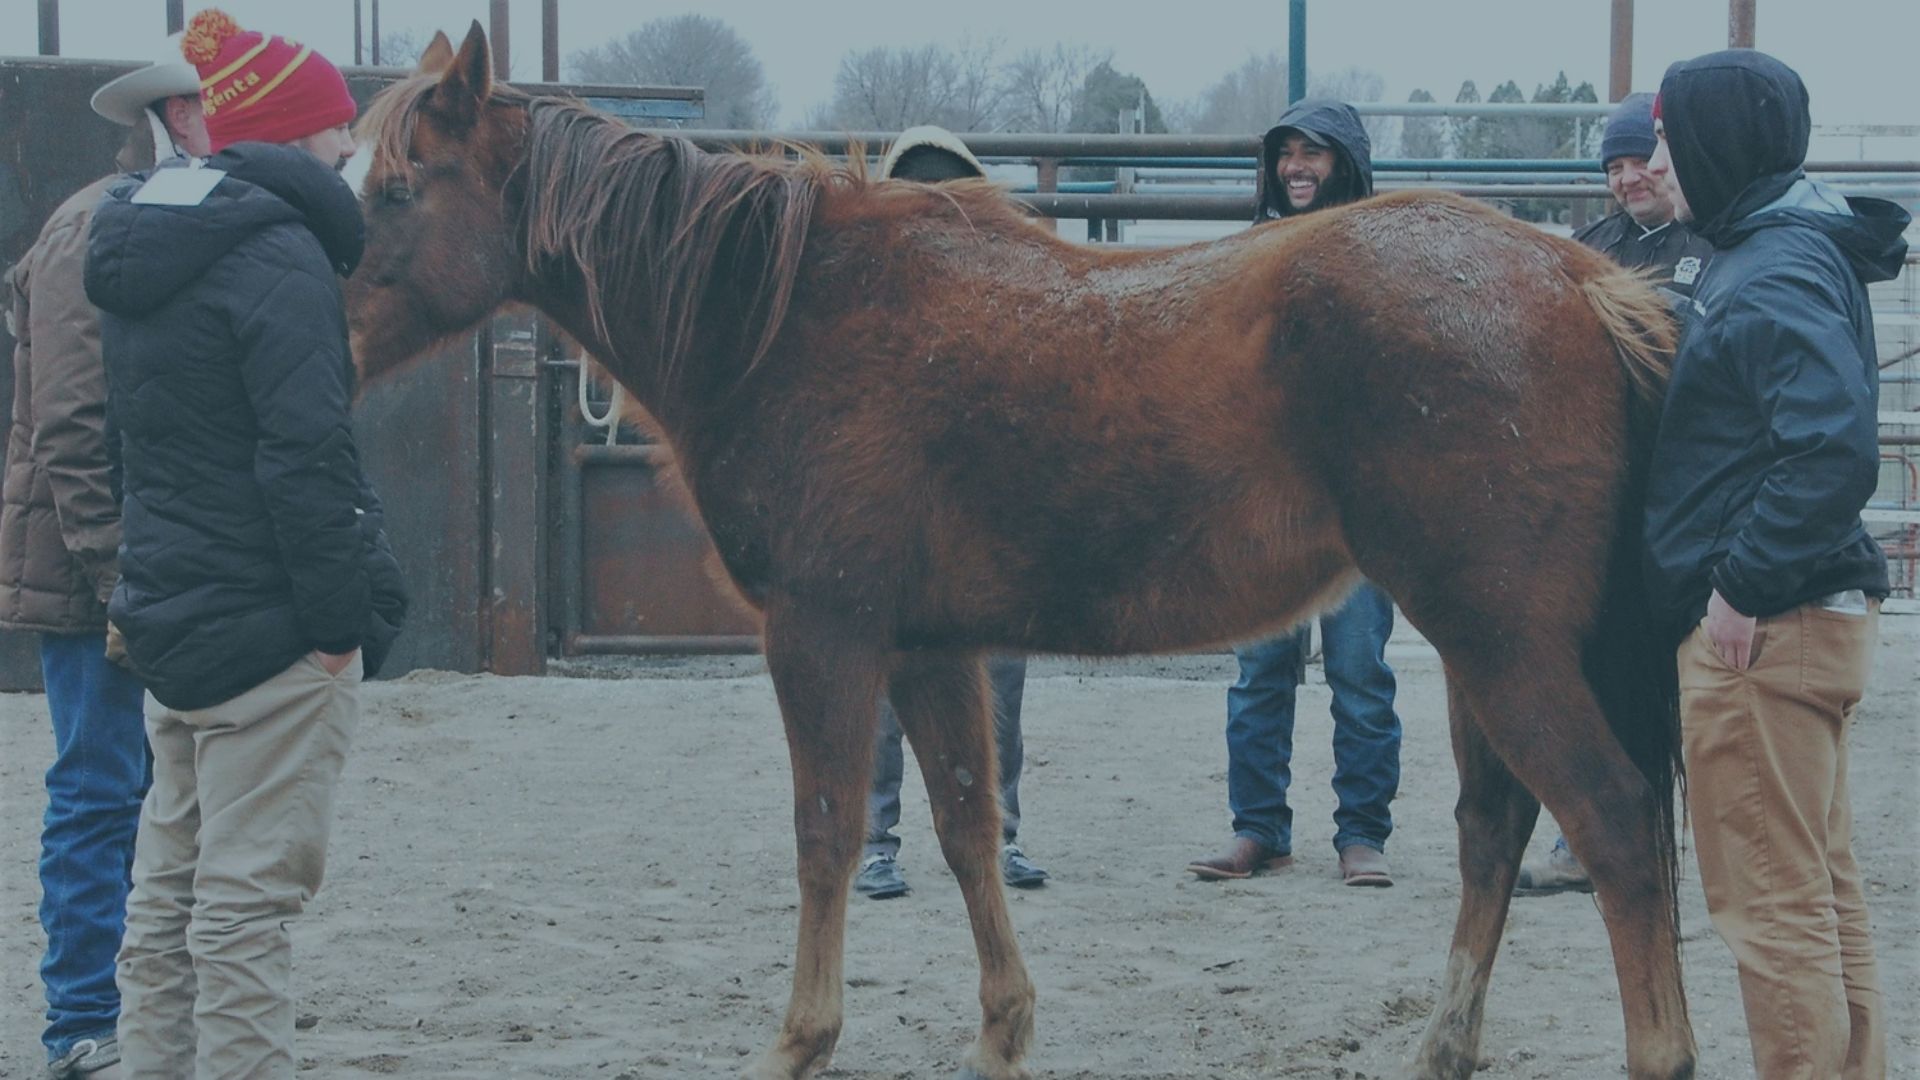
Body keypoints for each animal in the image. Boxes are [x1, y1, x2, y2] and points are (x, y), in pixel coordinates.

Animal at [348, 25, 1694, 1080]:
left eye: (396, 190)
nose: (338, 341)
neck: (786, 312)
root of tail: (1578, 276)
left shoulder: (824, 633)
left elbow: (826, 831)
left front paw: (798, 1039)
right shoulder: (930, 647)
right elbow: (959, 824)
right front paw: (1002, 1031)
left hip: (1501, 641)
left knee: (1615, 823)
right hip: (1485, 646)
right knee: (1493, 828)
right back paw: (1441, 1046)